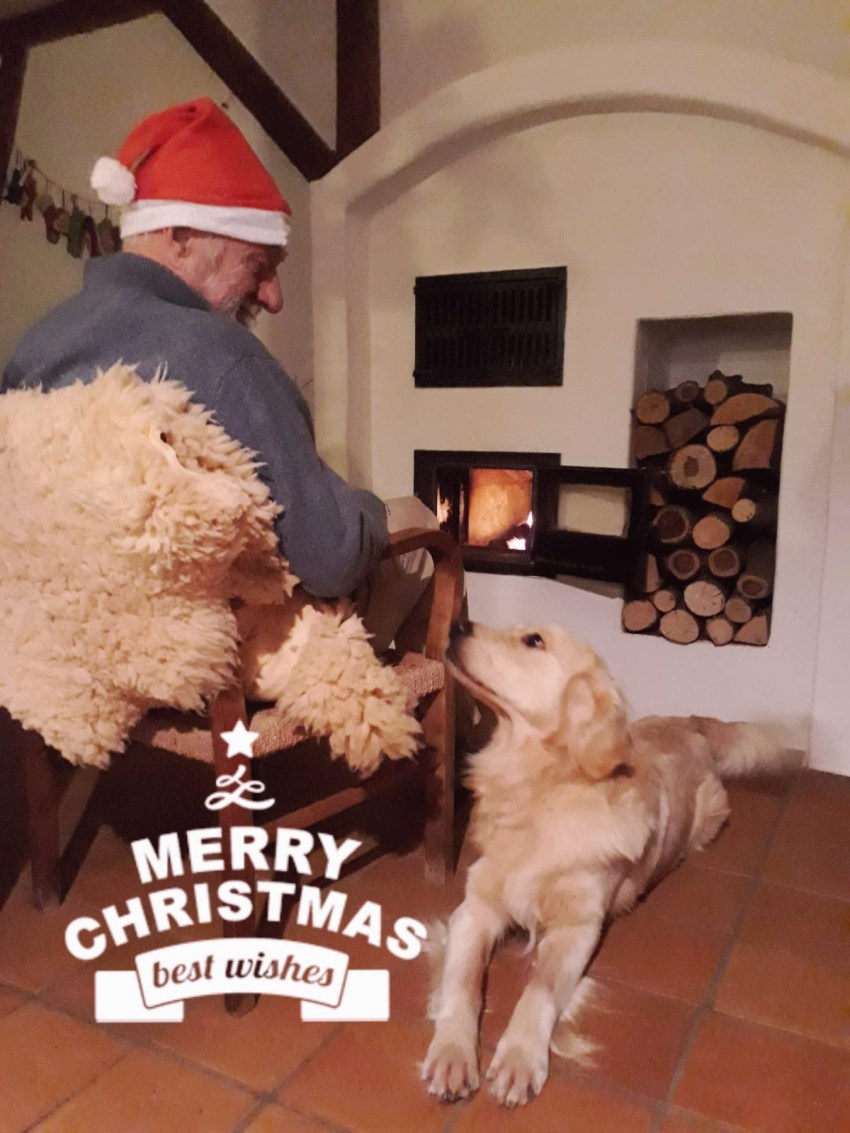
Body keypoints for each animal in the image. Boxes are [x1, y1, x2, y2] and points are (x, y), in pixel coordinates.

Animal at [422, 620, 800, 1108]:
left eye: (534, 641)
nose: (455, 625)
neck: (539, 790)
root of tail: (689, 721)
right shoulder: (475, 909)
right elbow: (463, 983)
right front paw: (451, 1054)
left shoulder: (578, 928)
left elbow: (539, 989)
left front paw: (519, 1058)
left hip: (710, 816)